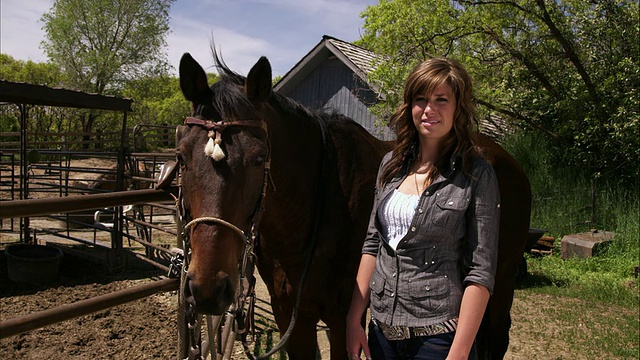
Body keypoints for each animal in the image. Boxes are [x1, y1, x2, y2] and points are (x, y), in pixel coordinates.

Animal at [174, 51, 528, 360]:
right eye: (181, 156)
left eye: (259, 159)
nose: (207, 289)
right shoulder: (290, 313)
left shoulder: (342, 316)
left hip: (500, 282)